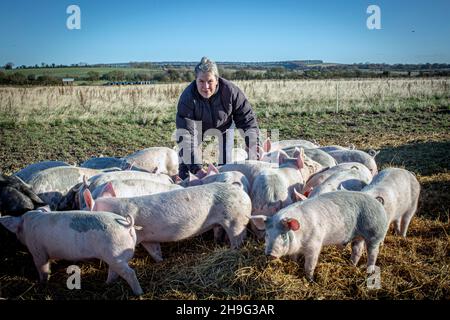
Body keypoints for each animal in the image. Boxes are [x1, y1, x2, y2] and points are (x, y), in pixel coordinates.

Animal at [0, 209, 142, 296]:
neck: (29, 224)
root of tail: (127, 224)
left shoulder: (38, 250)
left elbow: (43, 268)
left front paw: (42, 283)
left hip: (115, 254)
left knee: (130, 273)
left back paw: (139, 293)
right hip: (114, 257)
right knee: (114, 272)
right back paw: (106, 284)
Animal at [84, 182, 251, 262]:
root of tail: (241, 191)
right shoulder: (148, 238)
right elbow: (155, 252)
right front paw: (161, 261)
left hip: (236, 219)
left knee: (238, 238)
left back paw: (232, 250)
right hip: (222, 222)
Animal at [251, 190, 388, 280]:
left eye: (283, 236)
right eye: (267, 235)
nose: (270, 254)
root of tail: (378, 202)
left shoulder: (314, 245)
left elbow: (309, 265)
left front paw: (310, 280)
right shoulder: (296, 250)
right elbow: (294, 258)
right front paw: (294, 265)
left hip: (375, 234)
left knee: (373, 254)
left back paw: (369, 272)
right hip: (358, 237)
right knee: (357, 250)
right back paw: (351, 265)